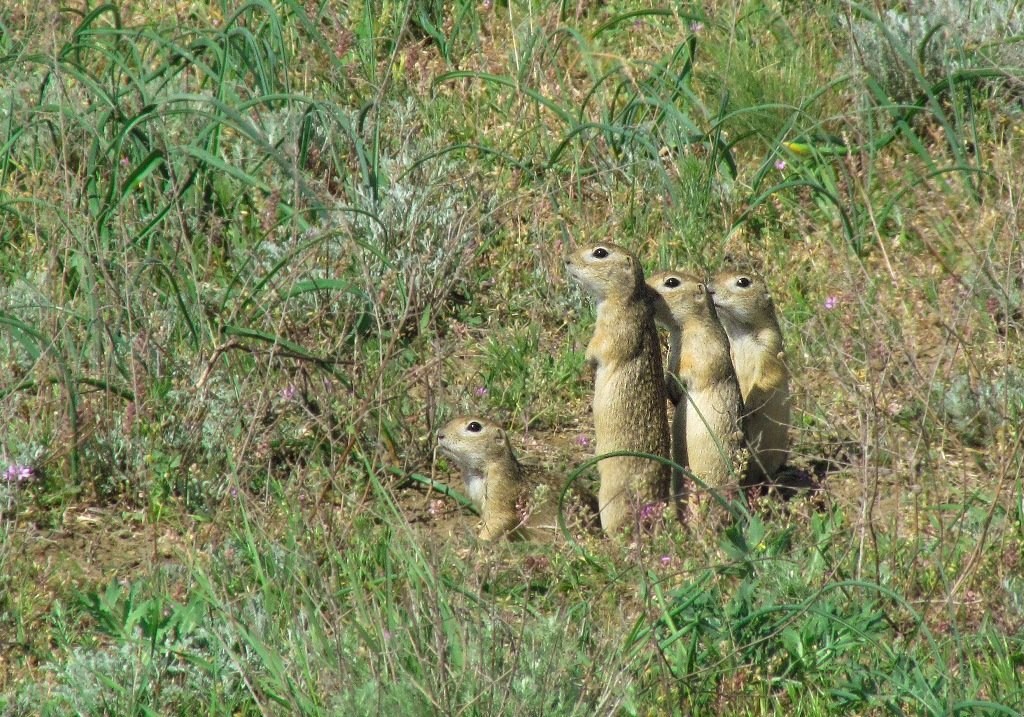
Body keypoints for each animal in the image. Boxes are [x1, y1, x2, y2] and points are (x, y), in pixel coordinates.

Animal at [565, 240, 667, 532]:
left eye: (600, 253)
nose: (567, 260)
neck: (625, 301)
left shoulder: (612, 331)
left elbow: (598, 349)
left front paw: (582, 359)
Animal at [712, 272, 790, 485]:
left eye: (743, 282)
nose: (709, 288)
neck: (740, 333)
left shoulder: (770, 344)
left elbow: (767, 377)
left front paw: (746, 407)